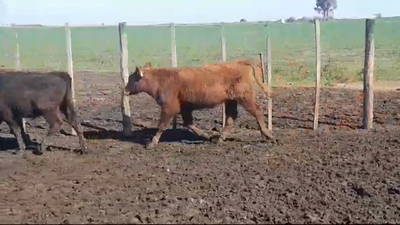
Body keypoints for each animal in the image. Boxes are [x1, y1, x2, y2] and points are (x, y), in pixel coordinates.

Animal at [123, 63, 276, 149]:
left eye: (132, 79)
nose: (125, 90)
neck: (160, 79)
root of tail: (240, 63)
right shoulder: (185, 108)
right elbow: (189, 124)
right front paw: (207, 136)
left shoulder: (169, 107)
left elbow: (162, 126)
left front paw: (152, 143)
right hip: (231, 100)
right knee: (231, 118)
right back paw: (220, 138)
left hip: (245, 97)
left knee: (257, 111)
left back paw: (268, 134)